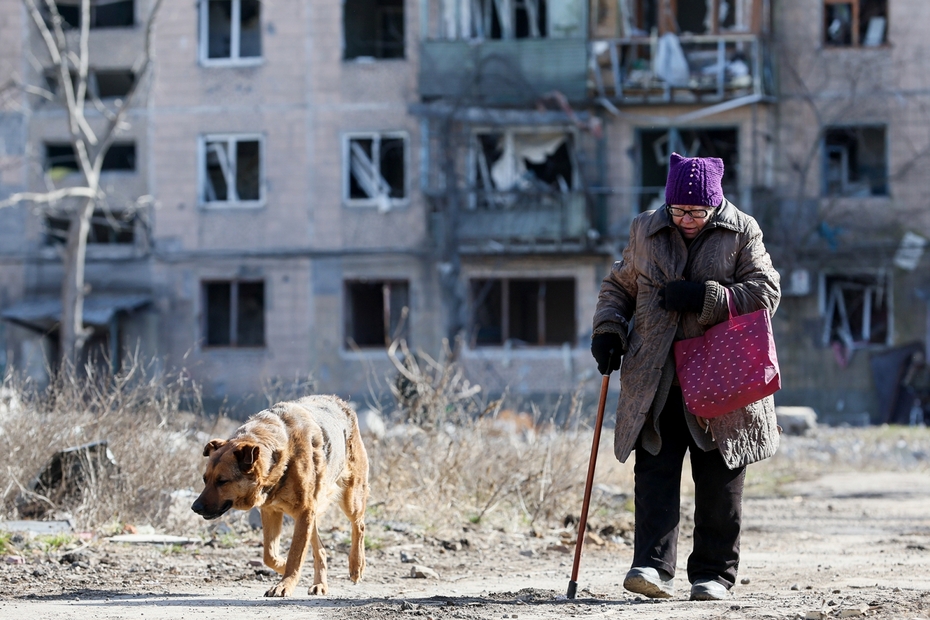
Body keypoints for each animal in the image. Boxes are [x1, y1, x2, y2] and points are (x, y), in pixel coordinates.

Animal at [190, 398, 368, 596]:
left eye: (222, 481)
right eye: (205, 479)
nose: (195, 507)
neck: (281, 453)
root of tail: (341, 403)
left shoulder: (304, 512)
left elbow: (295, 555)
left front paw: (285, 583)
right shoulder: (271, 511)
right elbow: (270, 555)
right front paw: (283, 567)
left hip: (350, 500)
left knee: (359, 525)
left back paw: (356, 566)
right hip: (310, 515)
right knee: (320, 549)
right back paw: (320, 584)